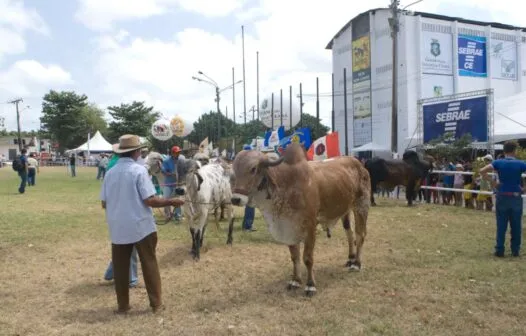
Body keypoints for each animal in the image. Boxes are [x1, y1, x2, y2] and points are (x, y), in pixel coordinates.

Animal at [231, 143, 372, 296]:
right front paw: (295, 281)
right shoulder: (289, 227)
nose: (235, 199)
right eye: (234, 171)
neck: (287, 183)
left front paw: (310, 285)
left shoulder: (310, 226)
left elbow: (307, 258)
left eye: (253, 169)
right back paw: (350, 259)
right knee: (349, 234)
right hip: (345, 211)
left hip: (361, 205)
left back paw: (356, 264)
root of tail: (359, 164)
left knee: (360, 234)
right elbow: (295, 257)